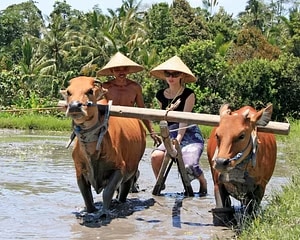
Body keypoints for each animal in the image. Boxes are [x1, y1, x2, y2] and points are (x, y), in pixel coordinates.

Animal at [60, 77, 145, 216]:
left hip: (132, 169)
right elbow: (87, 197)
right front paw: (90, 211)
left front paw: (104, 212)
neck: (92, 153)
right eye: (68, 92)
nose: (74, 106)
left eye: (90, 91)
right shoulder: (79, 172)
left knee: (125, 190)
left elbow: (107, 192)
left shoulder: (120, 169)